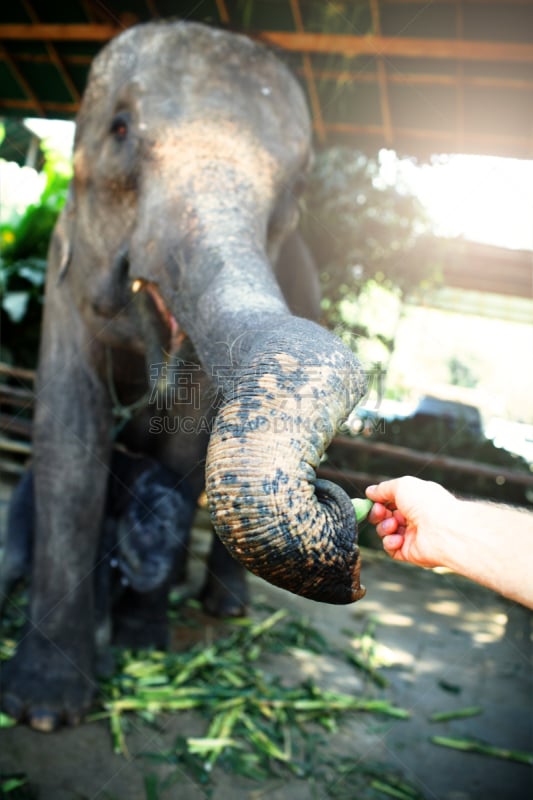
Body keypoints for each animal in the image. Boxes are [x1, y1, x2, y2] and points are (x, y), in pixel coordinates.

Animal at [0, 20, 366, 732]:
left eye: (297, 190)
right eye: (119, 128)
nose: (331, 495)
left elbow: (185, 444)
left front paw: (143, 643)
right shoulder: (62, 275)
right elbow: (69, 440)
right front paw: (43, 712)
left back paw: (225, 608)